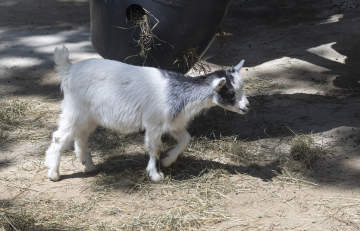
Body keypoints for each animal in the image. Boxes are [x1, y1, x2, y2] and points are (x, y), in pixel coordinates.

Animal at [43, 45, 249, 182]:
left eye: (241, 88)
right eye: (230, 92)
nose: (246, 107)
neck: (177, 92)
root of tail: (69, 68)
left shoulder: (172, 123)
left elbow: (186, 139)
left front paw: (167, 161)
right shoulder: (154, 123)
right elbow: (154, 147)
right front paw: (156, 174)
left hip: (89, 116)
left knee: (81, 137)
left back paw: (89, 166)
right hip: (75, 110)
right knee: (60, 137)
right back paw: (54, 173)